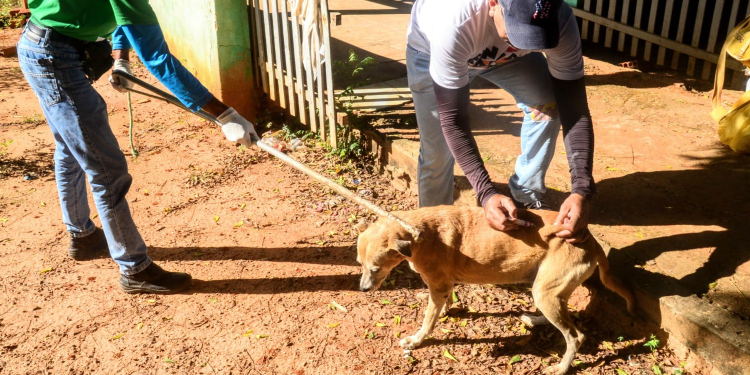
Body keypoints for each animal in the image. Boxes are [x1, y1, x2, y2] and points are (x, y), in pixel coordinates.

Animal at [358, 206, 636, 375]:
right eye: (359, 263)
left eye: (375, 268)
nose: (363, 289)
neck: (418, 233)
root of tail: (590, 240)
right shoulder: (442, 286)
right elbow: (442, 305)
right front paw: (445, 311)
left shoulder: (437, 286)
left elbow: (427, 321)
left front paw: (416, 341)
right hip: (547, 289)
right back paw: (535, 319)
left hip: (546, 292)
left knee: (576, 337)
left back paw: (561, 367)